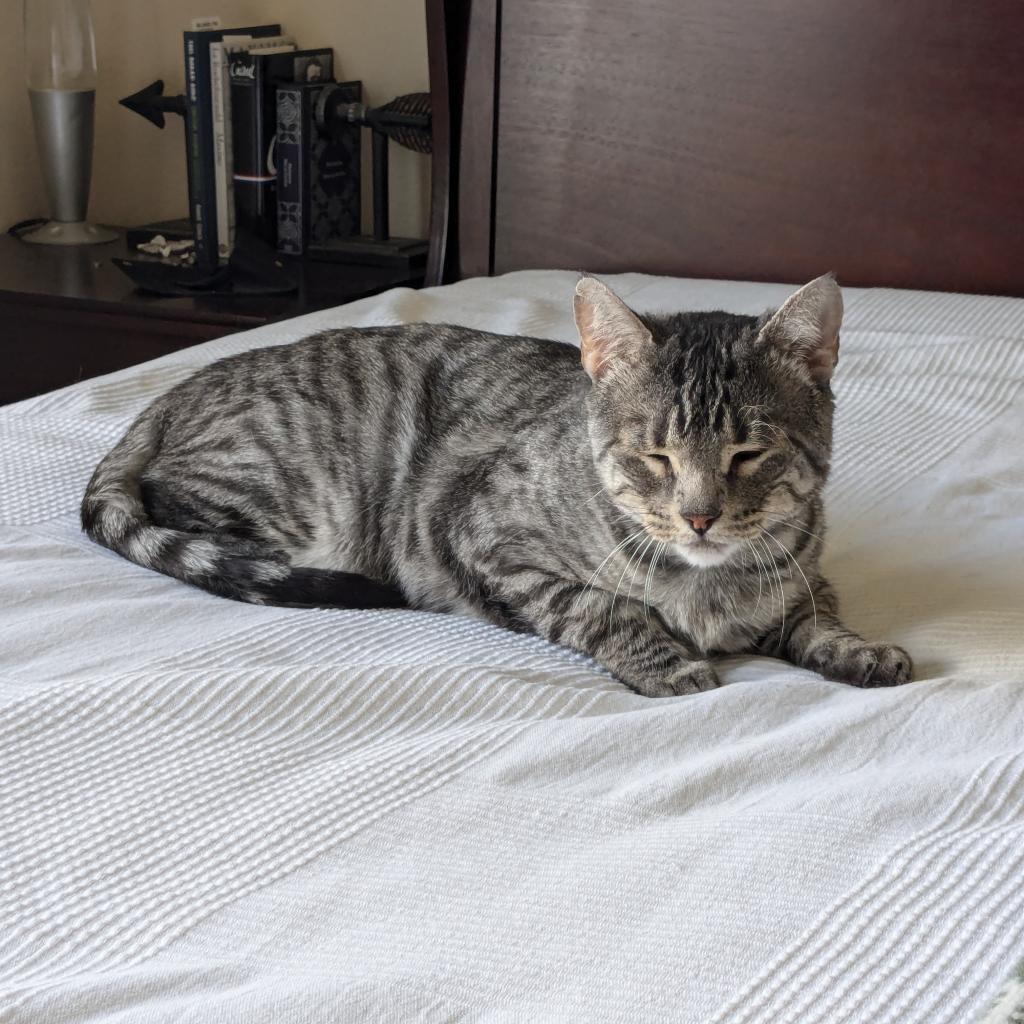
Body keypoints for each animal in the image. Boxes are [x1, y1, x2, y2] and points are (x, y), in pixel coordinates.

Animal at [79, 274, 913, 696]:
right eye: (654, 457)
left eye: (748, 453)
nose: (700, 518)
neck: (708, 585)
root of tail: (184, 383)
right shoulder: (478, 531)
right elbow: (601, 605)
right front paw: (666, 660)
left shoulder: (803, 571)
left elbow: (817, 613)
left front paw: (856, 650)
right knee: (169, 502)